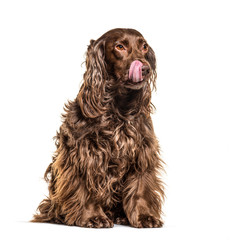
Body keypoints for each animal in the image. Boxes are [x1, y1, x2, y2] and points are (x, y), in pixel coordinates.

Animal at [32, 28, 165, 227]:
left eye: (144, 46)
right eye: (120, 46)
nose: (145, 68)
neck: (118, 107)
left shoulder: (142, 151)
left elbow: (141, 187)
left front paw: (144, 216)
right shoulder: (83, 152)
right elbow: (86, 187)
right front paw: (92, 217)